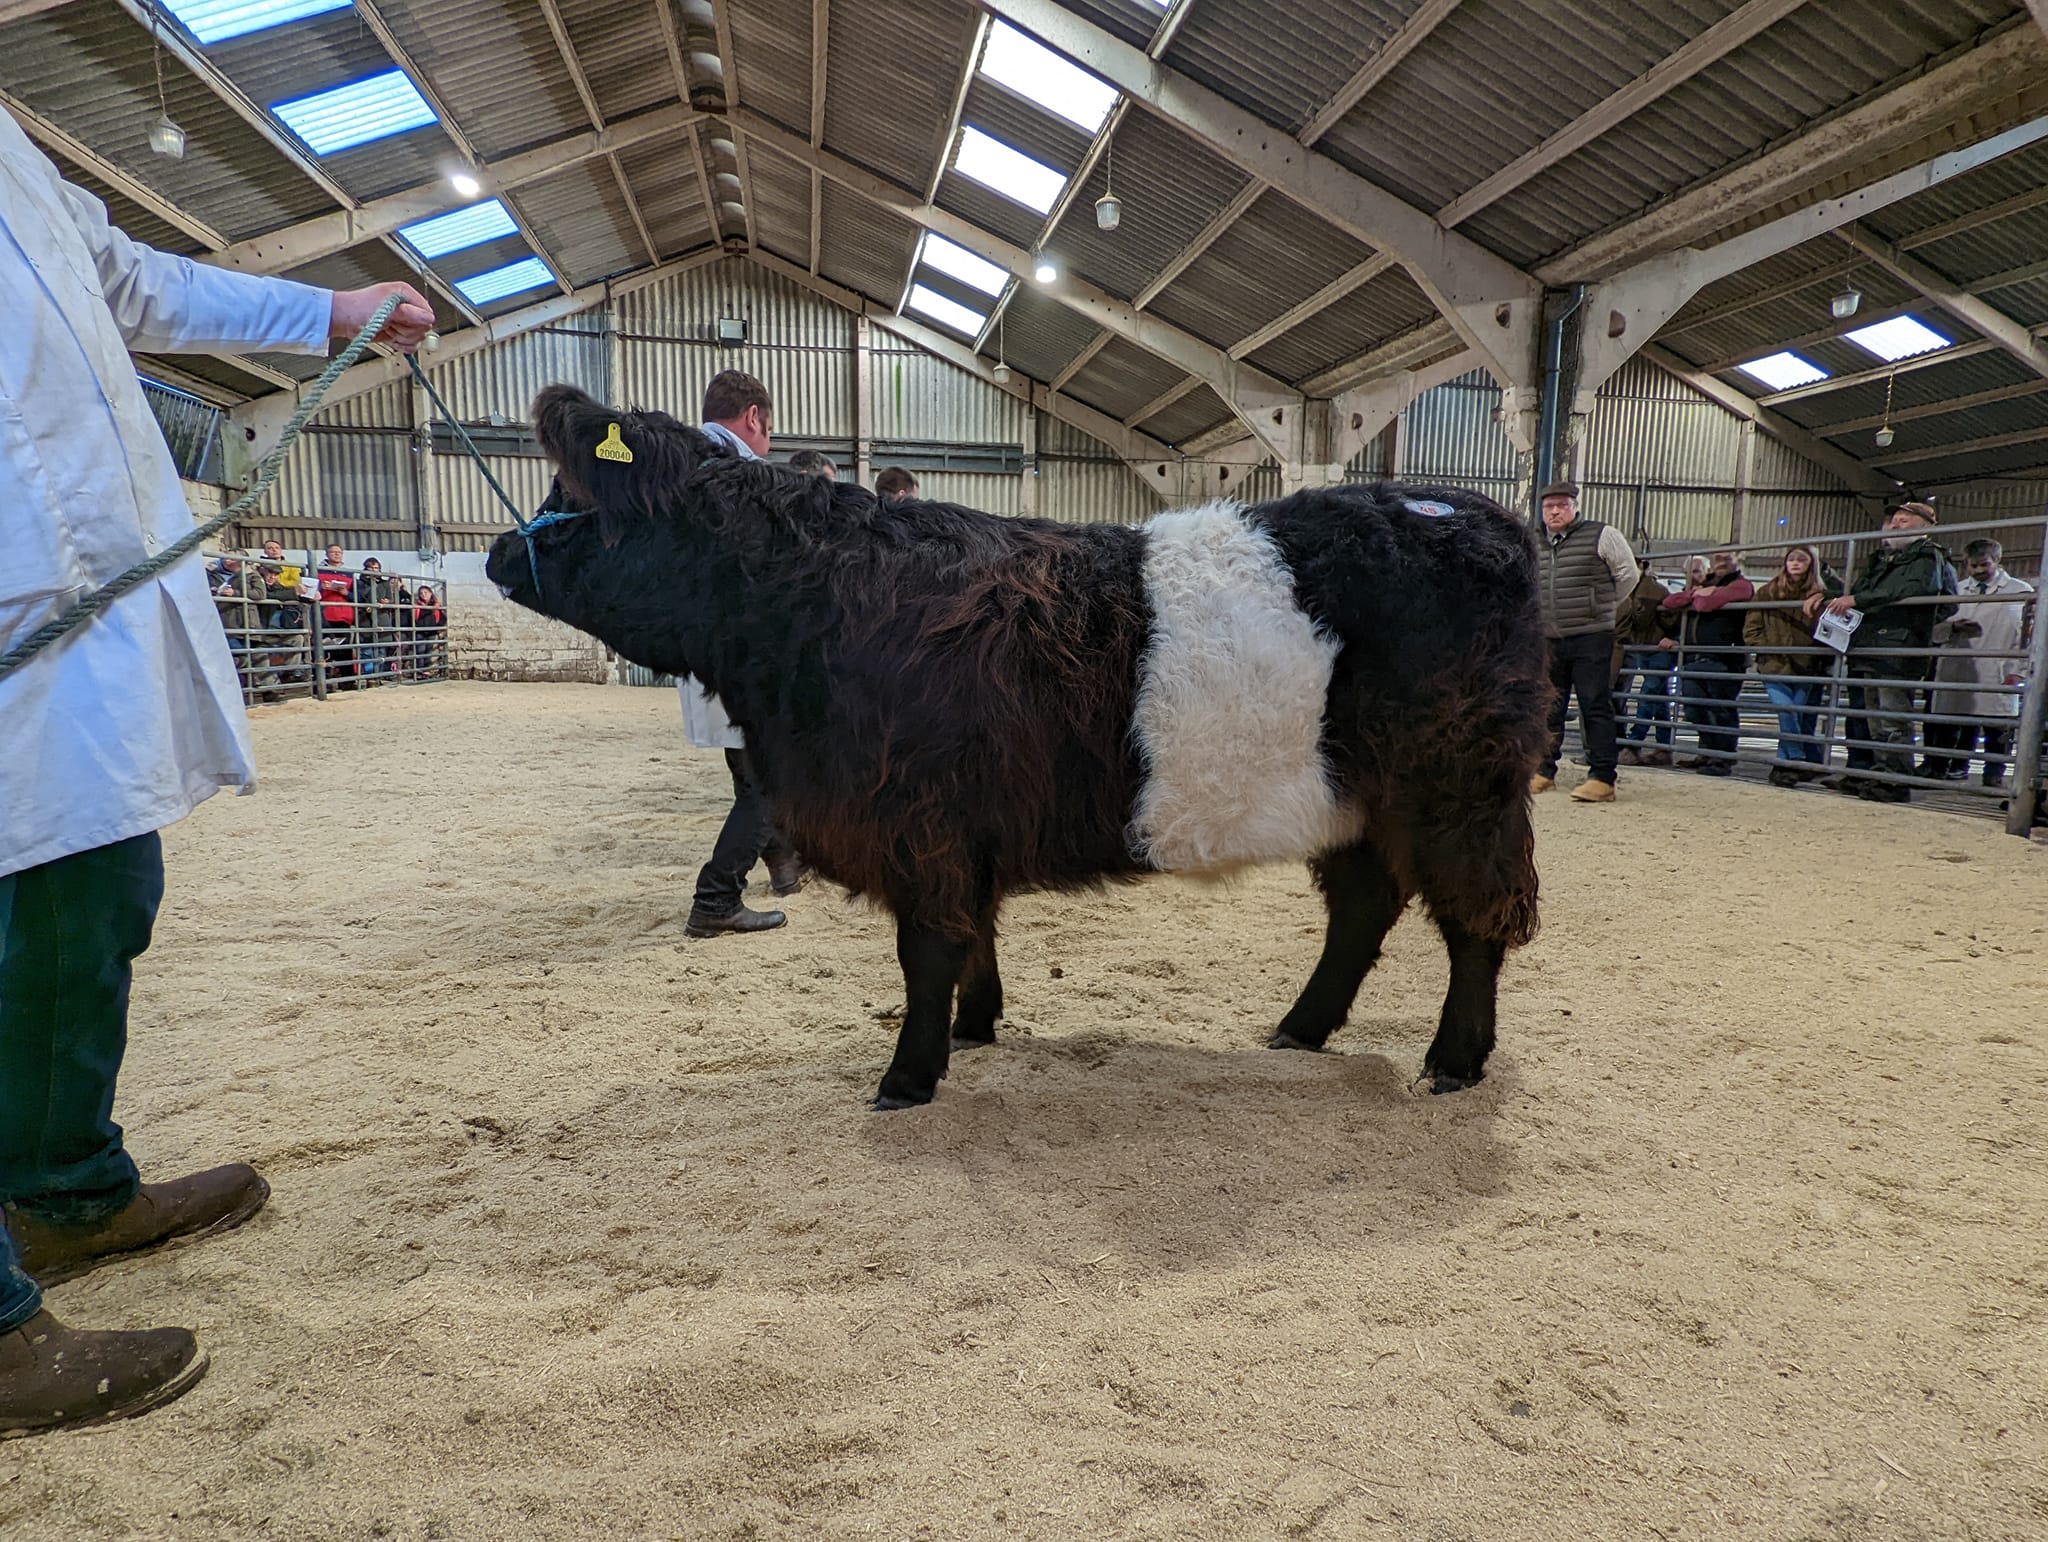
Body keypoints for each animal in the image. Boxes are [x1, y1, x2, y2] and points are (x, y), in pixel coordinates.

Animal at [487, 385, 1550, 1110]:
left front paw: (908, 1077)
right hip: (1360, 802)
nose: (497, 553)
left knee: (1475, 921)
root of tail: (1477, 513)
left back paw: (1452, 1062)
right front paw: (977, 1028)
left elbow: (926, 949)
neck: (818, 603)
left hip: (1460, 789)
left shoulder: (917, 822)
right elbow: (973, 937)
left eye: (571, 494)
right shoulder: (961, 826)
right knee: (1365, 908)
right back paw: (1300, 1030)